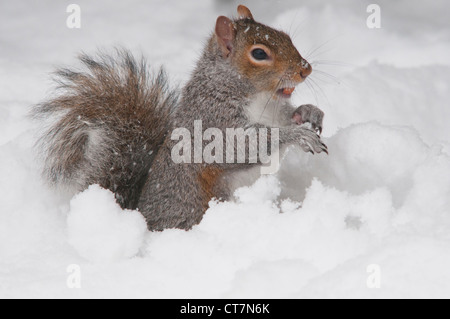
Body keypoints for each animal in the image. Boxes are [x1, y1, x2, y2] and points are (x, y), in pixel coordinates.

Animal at [32, 4, 326, 230]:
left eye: (285, 36)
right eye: (259, 53)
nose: (305, 69)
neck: (260, 97)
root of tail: (141, 217)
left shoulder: (274, 112)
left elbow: (289, 117)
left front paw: (310, 112)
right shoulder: (212, 119)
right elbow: (237, 145)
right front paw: (299, 135)